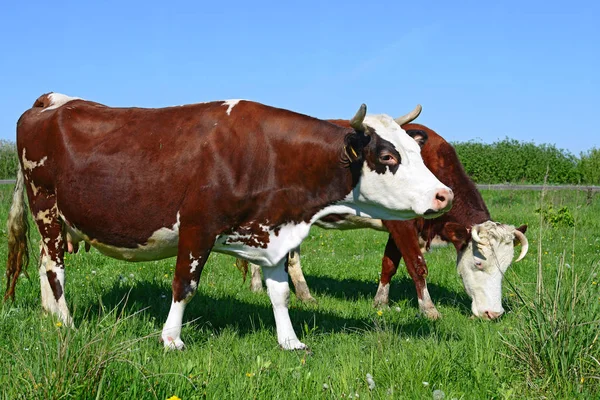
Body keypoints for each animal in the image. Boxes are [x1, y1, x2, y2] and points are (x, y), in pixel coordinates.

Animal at [4, 93, 452, 350]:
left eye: (417, 149)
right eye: (388, 156)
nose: (444, 194)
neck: (265, 153)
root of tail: (52, 101)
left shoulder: (272, 232)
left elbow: (280, 293)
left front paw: (290, 341)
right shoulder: (197, 226)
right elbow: (184, 285)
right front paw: (171, 338)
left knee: (45, 265)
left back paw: (50, 317)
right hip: (46, 207)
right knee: (55, 268)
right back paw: (67, 323)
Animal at [241, 122, 528, 318]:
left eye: (507, 267)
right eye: (479, 264)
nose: (494, 314)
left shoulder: (399, 226)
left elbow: (390, 263)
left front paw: (380, 302)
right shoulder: (403, 225)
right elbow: (417, 265)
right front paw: (429, 309)